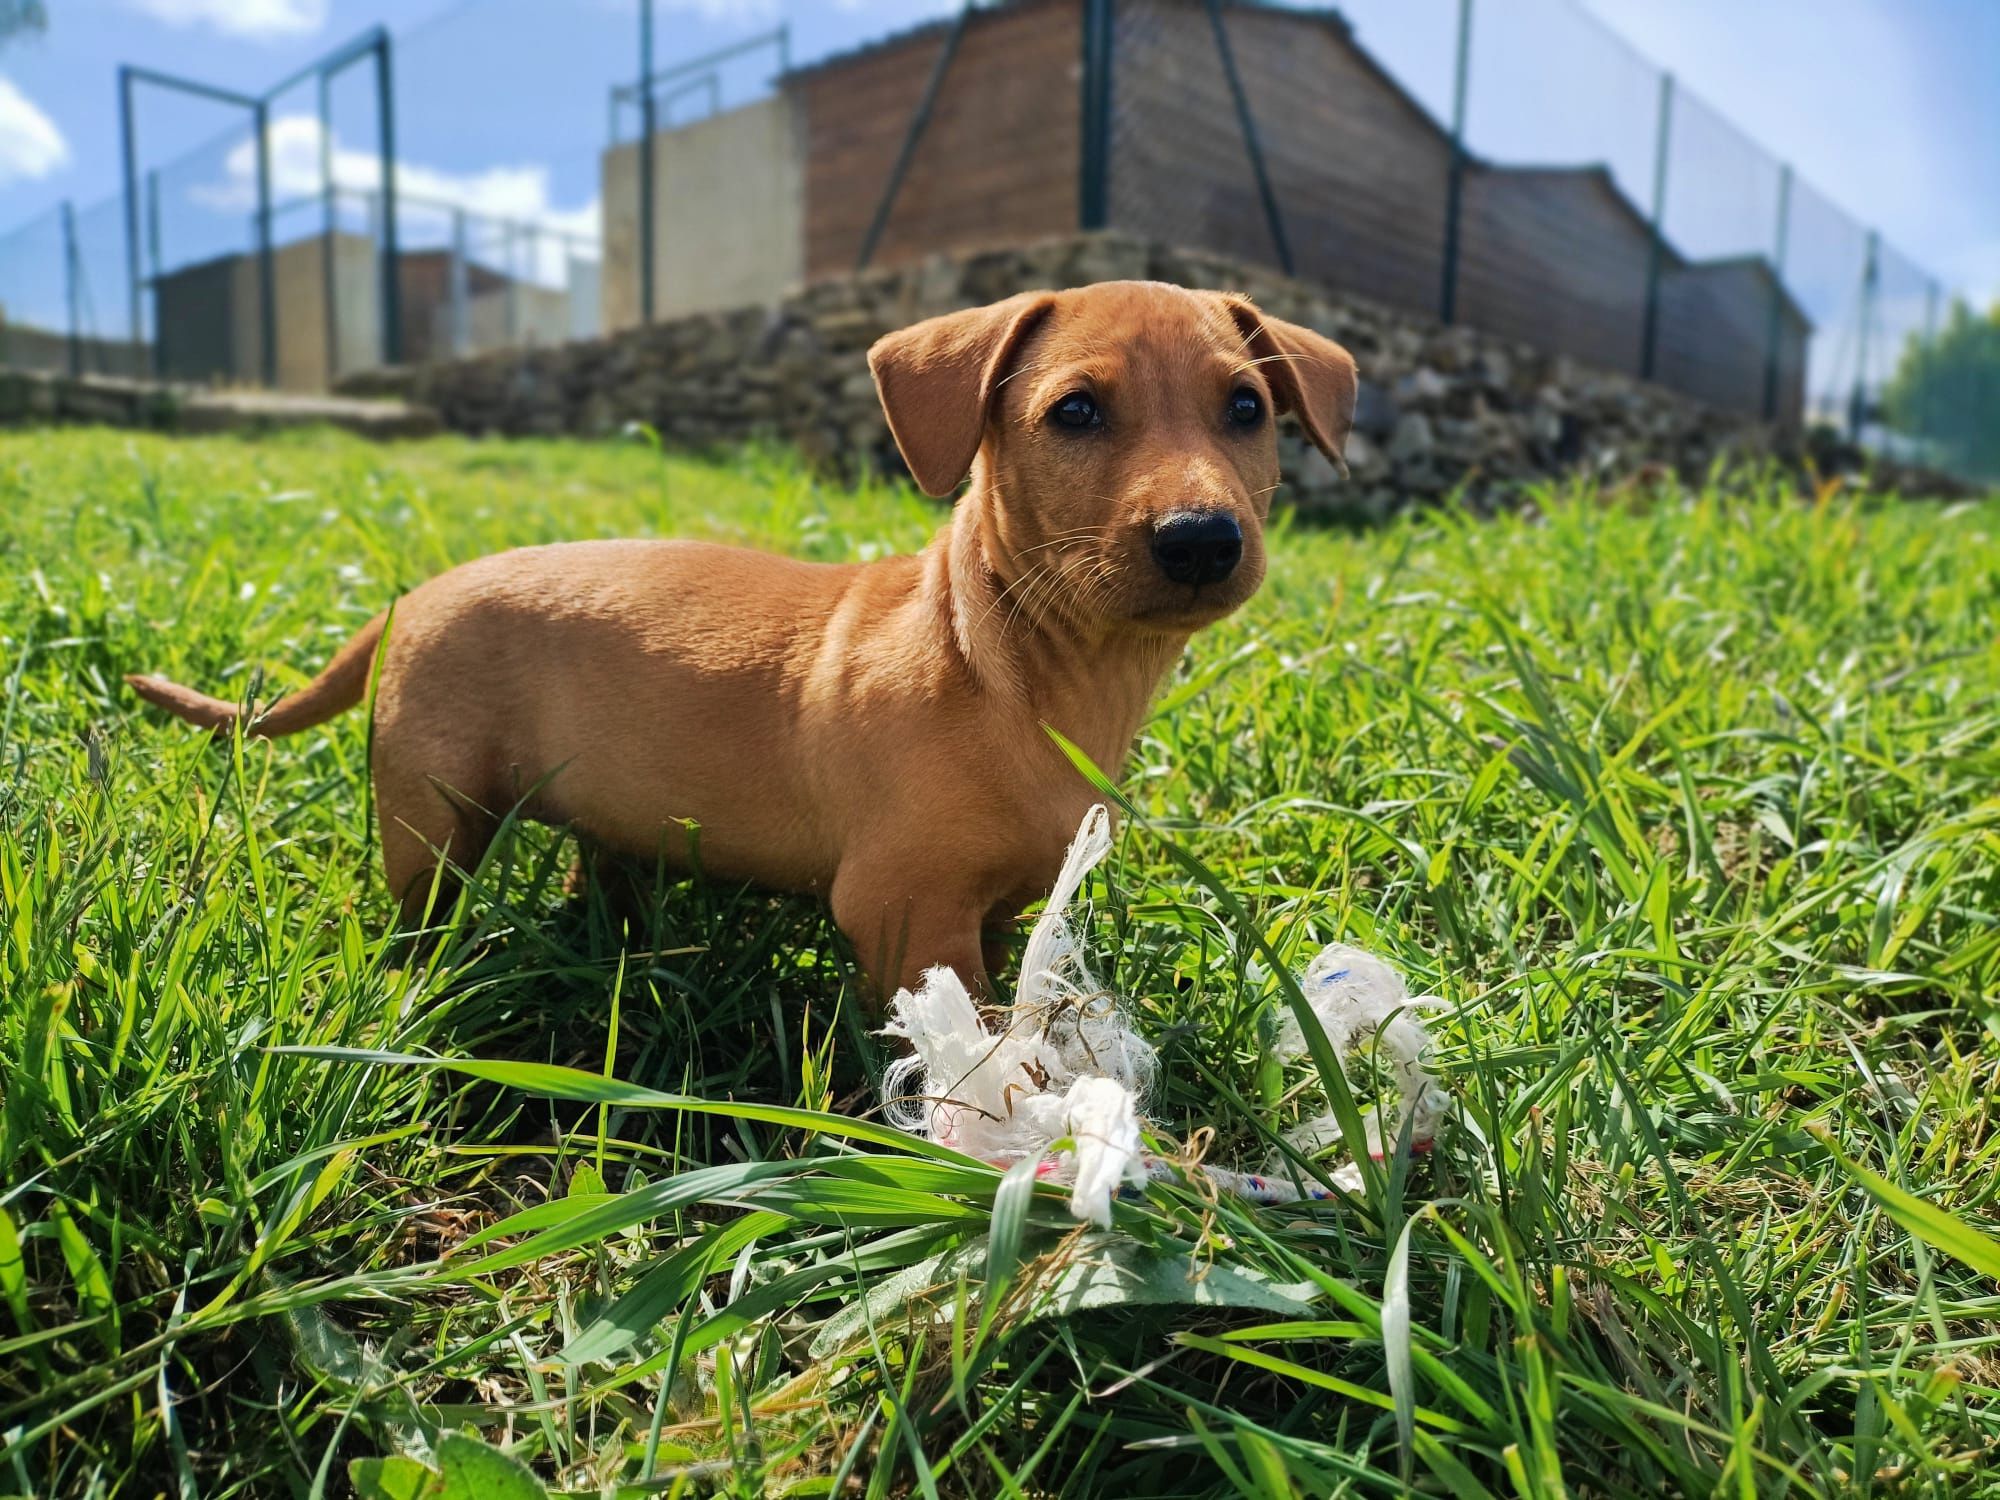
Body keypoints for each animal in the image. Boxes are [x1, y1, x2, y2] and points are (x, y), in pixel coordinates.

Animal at [129, 288, 1360, 1004]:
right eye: (1074, 413)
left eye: (1246, 409)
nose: (1202, 540)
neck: (1021, 668)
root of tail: (413, 598)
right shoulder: (902, 909)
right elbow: (961, 1042)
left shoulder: (1000, 904)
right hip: (432, 819)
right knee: (421, 911)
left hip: (596, 805)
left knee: (600, 869)